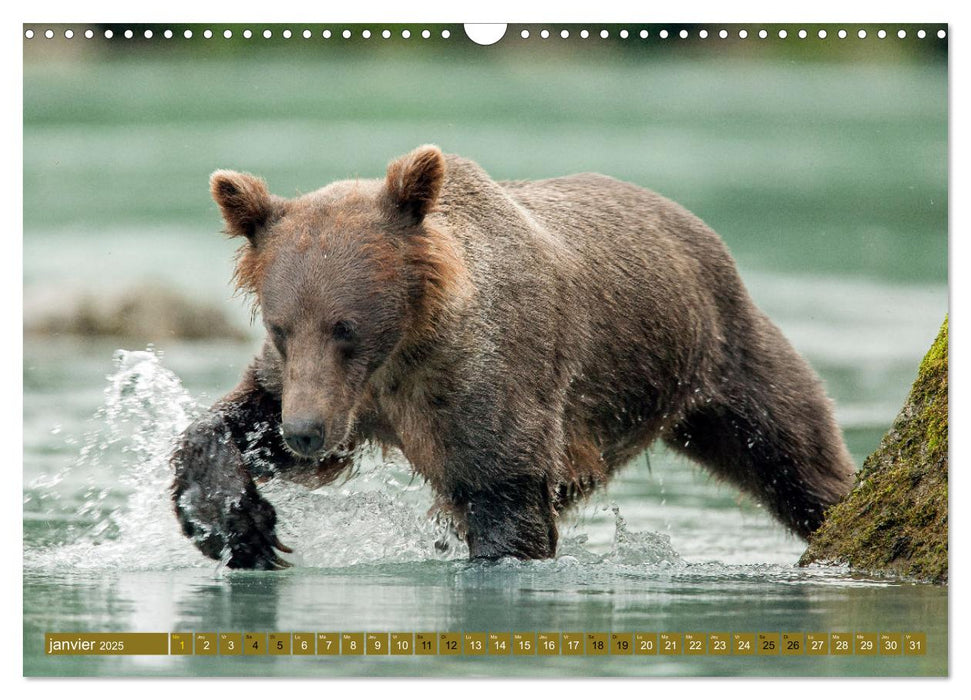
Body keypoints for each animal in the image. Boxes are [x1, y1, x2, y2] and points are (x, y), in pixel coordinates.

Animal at [171, 146, 856, 568]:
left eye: (347, 328)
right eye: (281, 326)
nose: (306, 431)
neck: (405, 351)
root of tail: (688, 222)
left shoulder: (486, 380)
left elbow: (505, 499)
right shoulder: (330, 389)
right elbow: (240, 419)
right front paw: (239, 525)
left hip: (722, 353)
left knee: (793, 455)